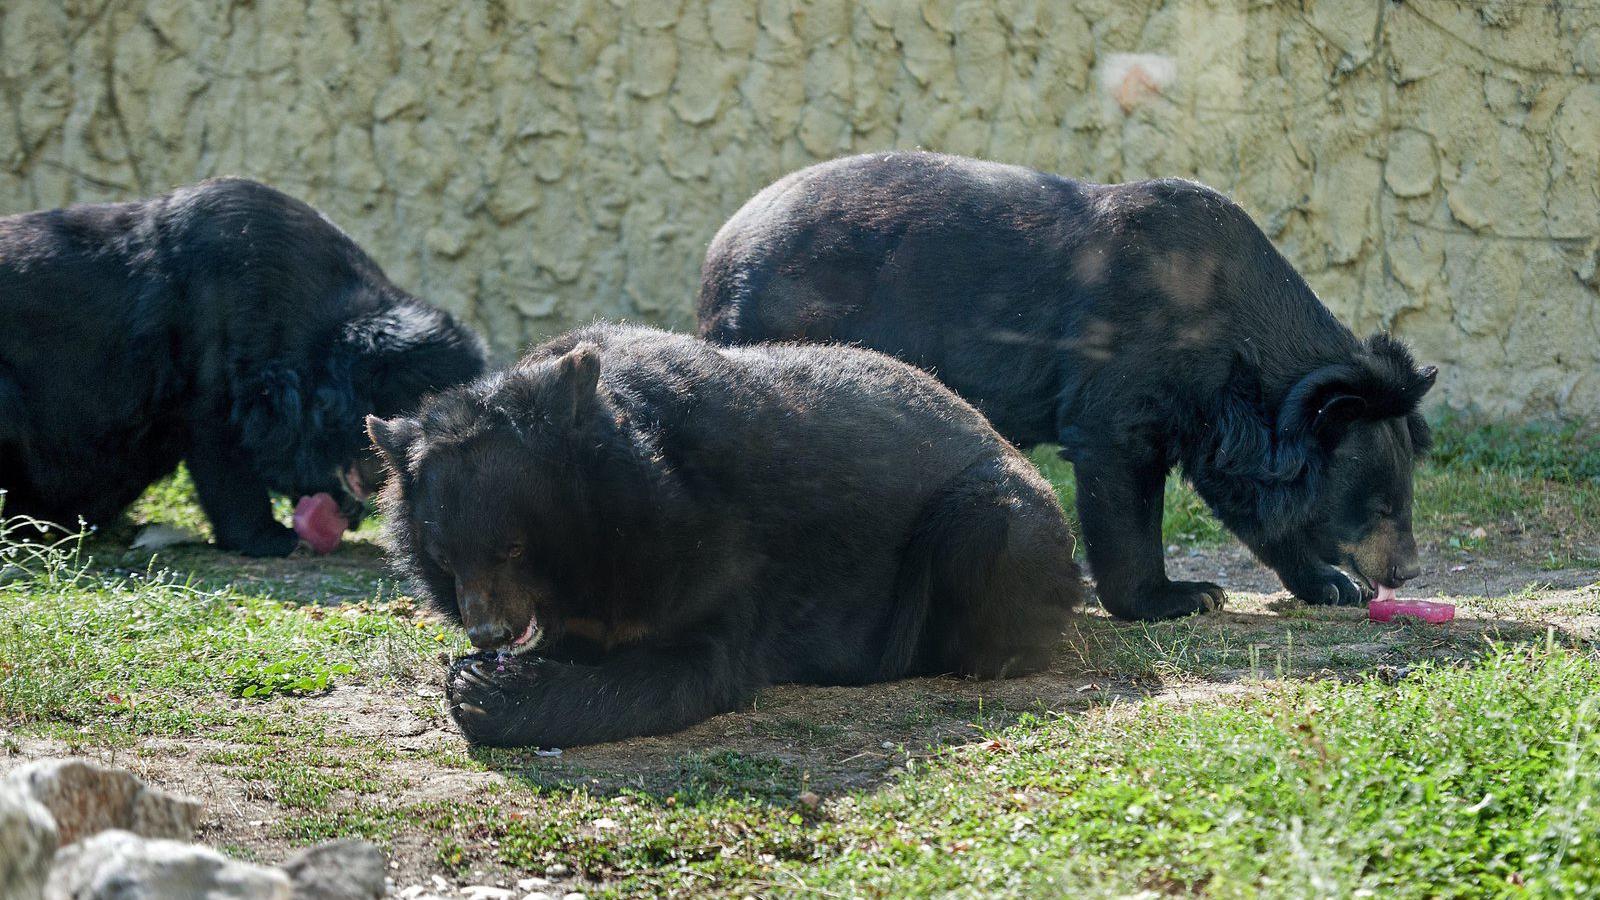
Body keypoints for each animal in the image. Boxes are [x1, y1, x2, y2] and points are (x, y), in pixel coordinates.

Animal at [368, 320, 1081, 743]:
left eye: (513, 547)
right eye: (443, 559)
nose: (488, 634)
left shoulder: (713, 545)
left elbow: (693, 665)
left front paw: (487, 693)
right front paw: (480, 673)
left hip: (995, 520)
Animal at [700, 150, 1440, 621]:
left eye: (1403, 502)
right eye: (1378, 507)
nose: (1406, 571)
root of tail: (720, 250)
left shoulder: (1218, 413)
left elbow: (1250, 501)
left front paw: (1332, 585)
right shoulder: (1133, 365)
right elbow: (1121, 475)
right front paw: (1180, 597)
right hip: (787, 325)